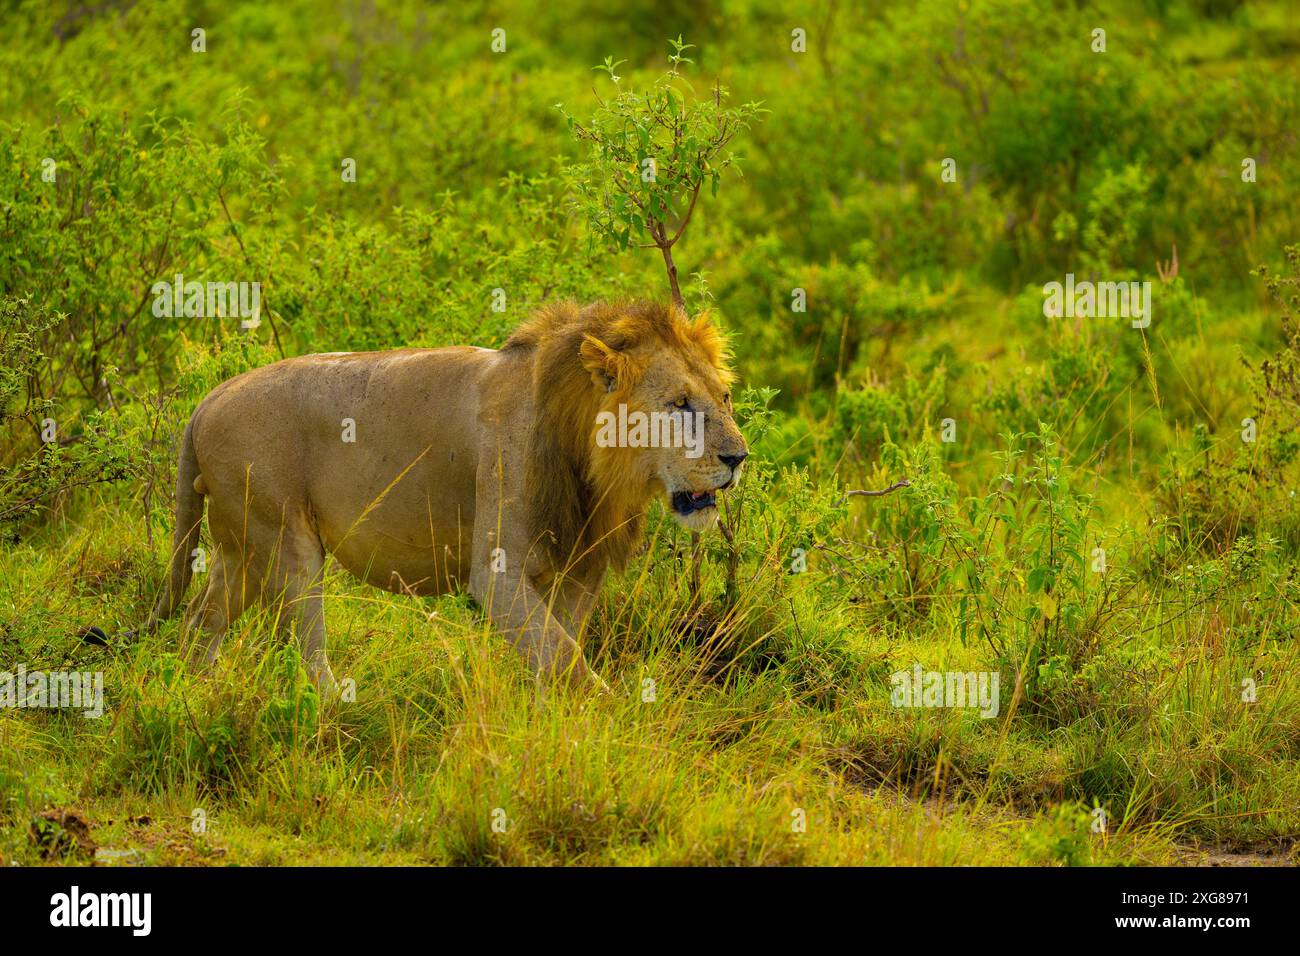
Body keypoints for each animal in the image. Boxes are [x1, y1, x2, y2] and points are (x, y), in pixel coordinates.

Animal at [145, 300, 748, 695]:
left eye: (723, 397)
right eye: (679, 404)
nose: (739, 458)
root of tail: (208, 398)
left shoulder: (580, 570)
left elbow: (560, 647)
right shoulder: (497, 574)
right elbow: (564, 658)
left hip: (241, 550)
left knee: (200, 621)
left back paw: (194, 695)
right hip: (286, 542)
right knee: (305, 645)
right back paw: (334, 707)